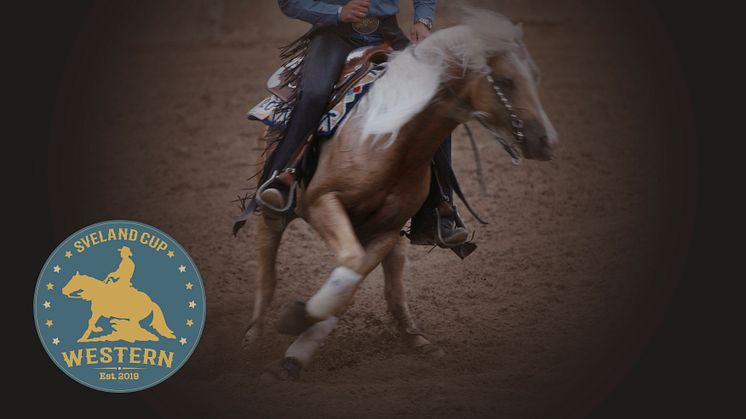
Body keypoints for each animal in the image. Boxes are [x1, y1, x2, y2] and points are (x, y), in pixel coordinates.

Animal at [241, 11, 556, 382]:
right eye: (505, 81)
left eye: (535, 76)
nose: (546, 142)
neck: (388, 138)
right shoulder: (321, 201)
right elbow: (349, 268)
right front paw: (294, 326)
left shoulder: (387, 229)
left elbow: (351, 282)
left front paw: (296, 348)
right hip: (273, 207)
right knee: (267, 267)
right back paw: (252, 337)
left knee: (393, 285)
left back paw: (415, 337)